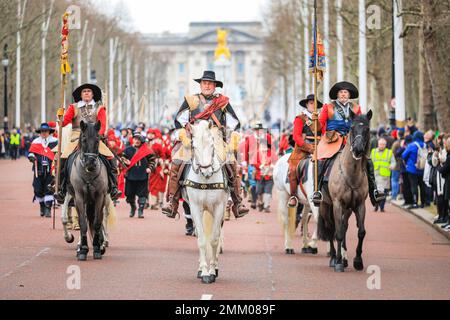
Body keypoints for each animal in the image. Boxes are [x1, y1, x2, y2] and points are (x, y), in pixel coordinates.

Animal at [181, 120, 229, 284]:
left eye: (212, 144)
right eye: (194, 146)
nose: (207, 172)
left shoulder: (219, 208)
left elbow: (214, 239)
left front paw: (213, 271)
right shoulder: (195, 208)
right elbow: (202, 240)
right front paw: (204, 272)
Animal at [316, 110, 372, 272]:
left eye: (367, 129)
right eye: (352, 128)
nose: (358, 149)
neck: (351, 173)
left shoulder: (359, 205)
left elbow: (361, 232)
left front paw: (357, 261)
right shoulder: (337, 204)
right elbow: (338, 232)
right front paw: (338, 261)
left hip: (347, 209)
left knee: (344, 226)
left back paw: (344, 258)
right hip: (326, 206)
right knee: (331, 228)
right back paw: (334, 258)